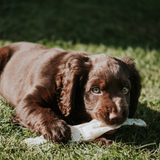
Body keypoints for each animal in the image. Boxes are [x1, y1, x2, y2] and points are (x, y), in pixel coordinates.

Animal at [0, 42, 141, 145]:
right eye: (96, 90)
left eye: (125, 90)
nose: (117, 117)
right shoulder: (27, 101)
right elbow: (41, 111)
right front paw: (56, 128)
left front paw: (103, 140)